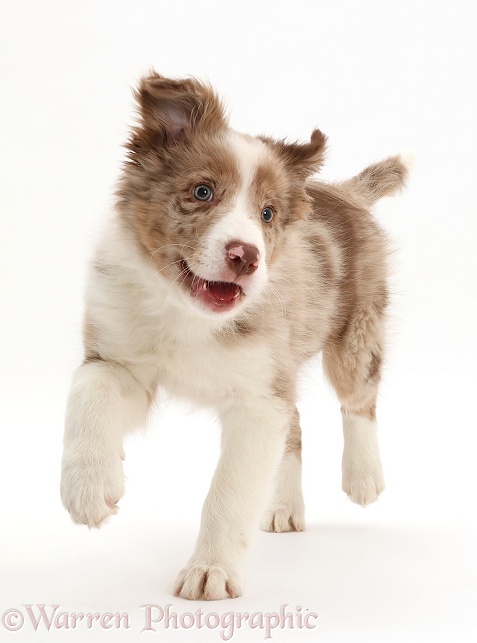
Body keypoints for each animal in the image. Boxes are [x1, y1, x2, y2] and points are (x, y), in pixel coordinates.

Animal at [60, 73, 410, 600]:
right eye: (202, 192)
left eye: (267, 214)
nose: (246, 256)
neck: (185, 312)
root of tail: (342, 192)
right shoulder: (120, 360)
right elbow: (88, 390)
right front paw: (89, 486)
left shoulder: (257, 399)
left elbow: (230, 489)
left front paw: (211, 571)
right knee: (296, 422)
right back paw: (283, 508)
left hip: (354, 333)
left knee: (358, 396)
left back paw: (363, 476)